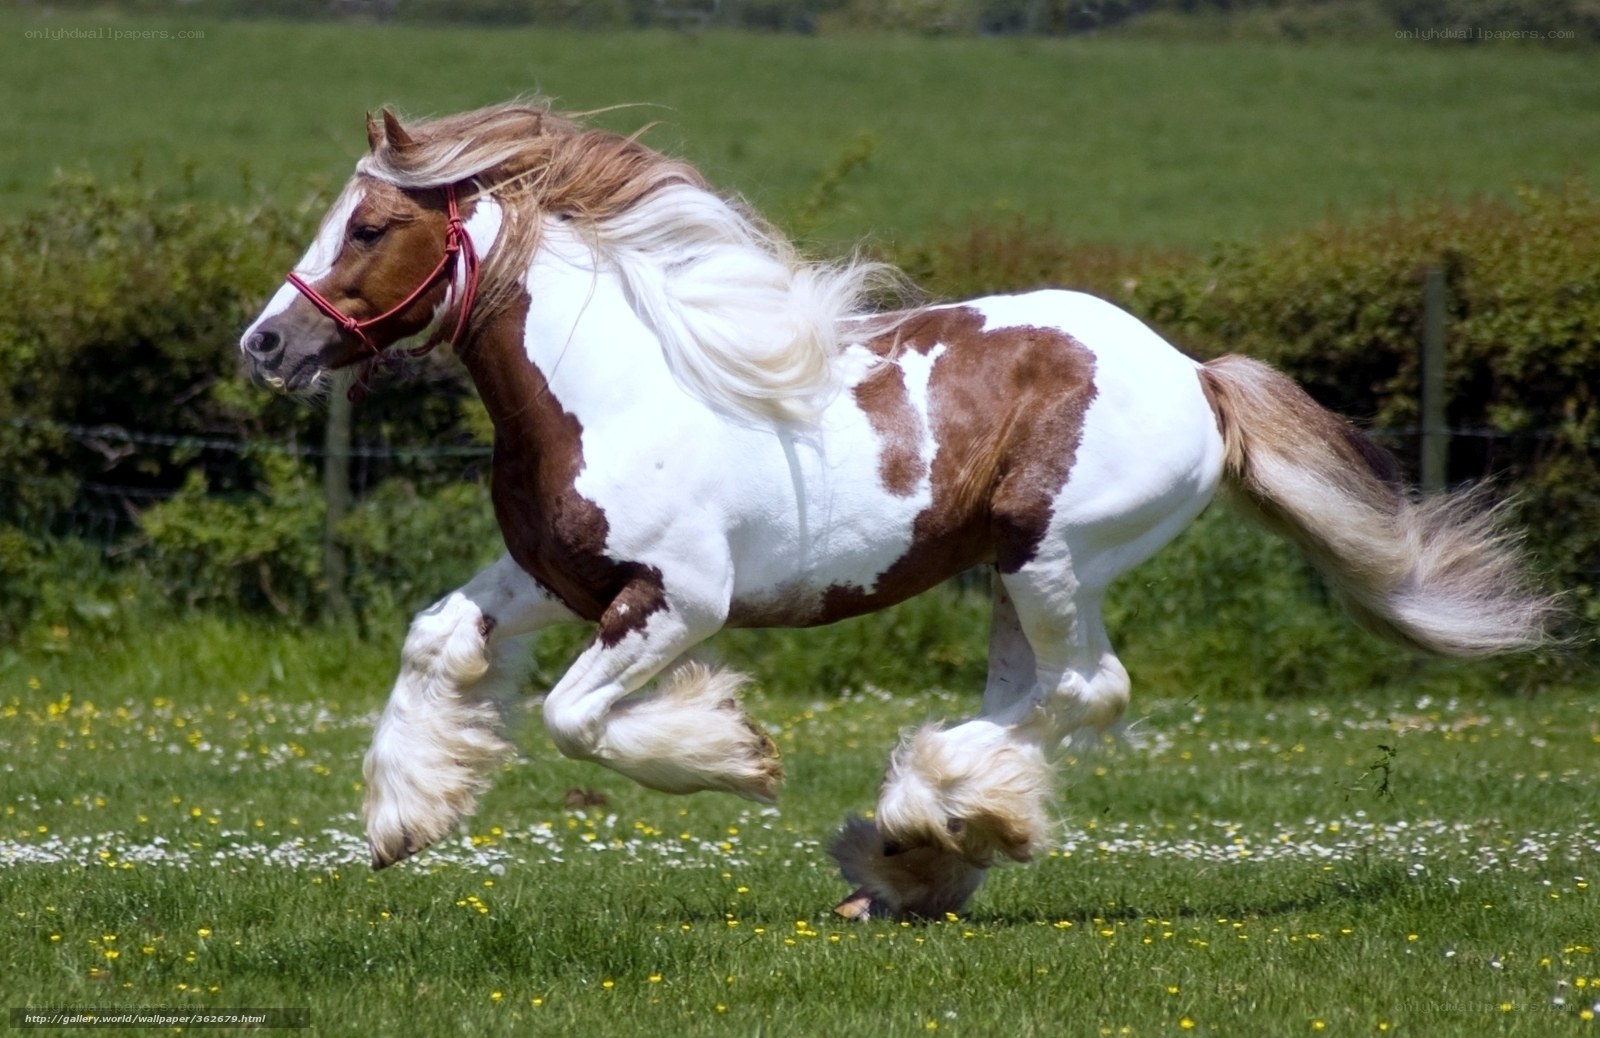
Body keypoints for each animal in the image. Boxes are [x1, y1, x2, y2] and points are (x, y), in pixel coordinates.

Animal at [240, 99, 1553, 919]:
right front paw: (404, 820)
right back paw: (917, 853)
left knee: (1087, 690)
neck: (610, 387)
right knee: (1036, 696)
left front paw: (735, 755)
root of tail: (1194, 376)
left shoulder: (677, 602)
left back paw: (923, 825)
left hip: (1052, 559)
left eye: (370, 225)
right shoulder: (549, 577)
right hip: (1012, 580)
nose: (265, 345)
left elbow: (572, 720)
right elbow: (434, 641)